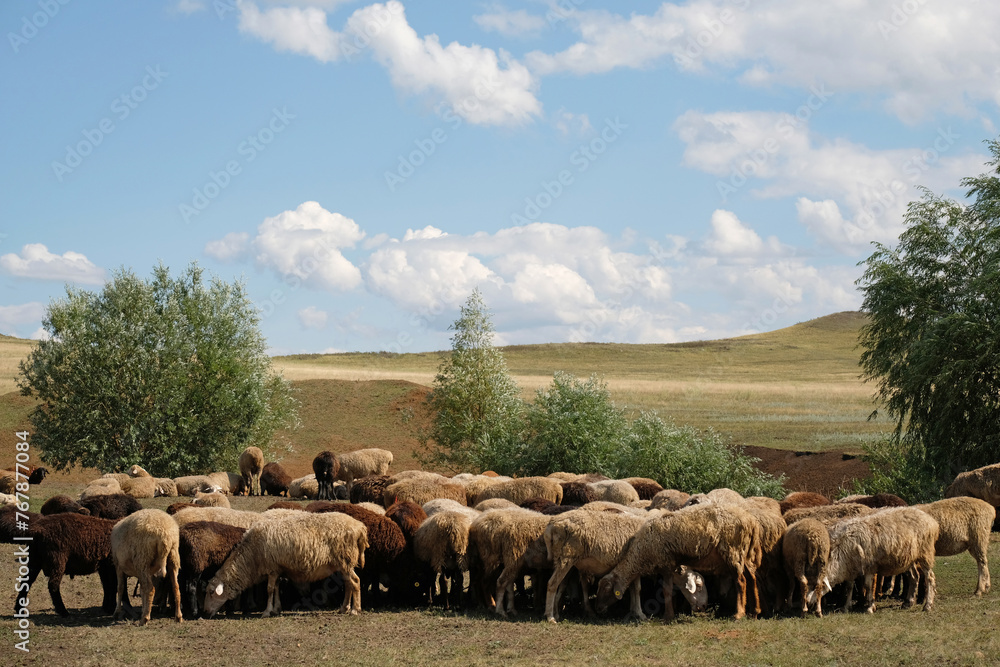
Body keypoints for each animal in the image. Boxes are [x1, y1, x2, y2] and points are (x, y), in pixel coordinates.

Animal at [202, 511, 368, 618]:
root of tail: (359, 527)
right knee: (348, 584)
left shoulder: (271, 568)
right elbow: (276, 588)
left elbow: (269, 590)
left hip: (345, 560)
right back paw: (344, 608)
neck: (251, 557)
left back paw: (355, 610)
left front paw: (266, 611)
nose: (205, 613)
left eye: (211, 592)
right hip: (343, 564)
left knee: (355, 581)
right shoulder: (277, 569)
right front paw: (276, 609)